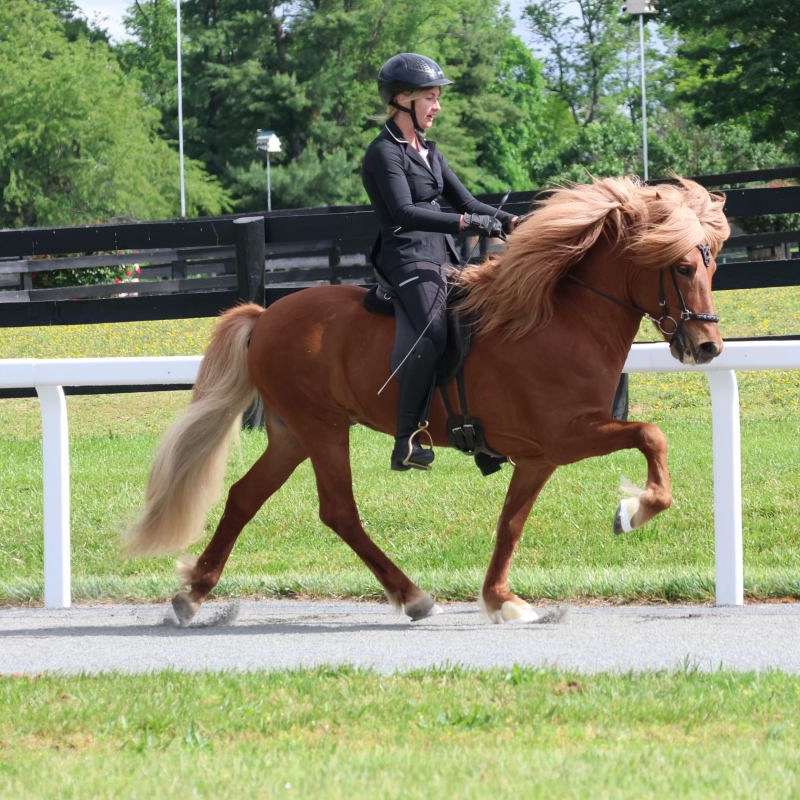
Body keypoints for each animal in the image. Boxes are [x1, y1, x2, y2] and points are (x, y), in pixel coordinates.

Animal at [126, 177, 732, 624]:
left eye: (712, 264)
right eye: (682, 266)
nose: (707, 346)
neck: (559, 320)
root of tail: (265, 316)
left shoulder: (540, 455)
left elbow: (511, 523)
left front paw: (501, 599)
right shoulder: (569, 434)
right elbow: (652, 434)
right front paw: (635, 510)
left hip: (293, 434)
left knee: (244, 497)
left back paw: (192, 595)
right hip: (322, 428)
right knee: (338, 510)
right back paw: (412, 595)